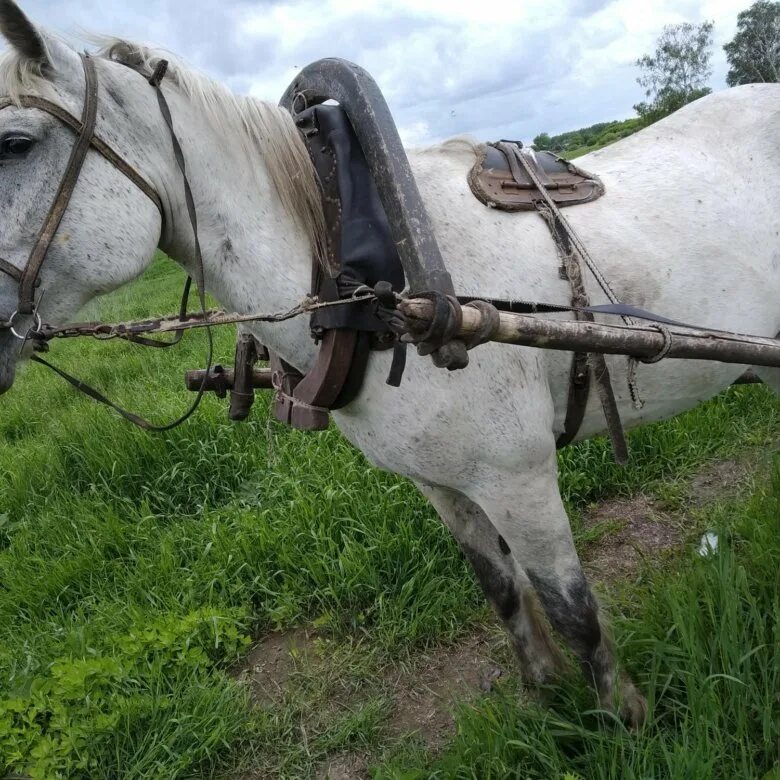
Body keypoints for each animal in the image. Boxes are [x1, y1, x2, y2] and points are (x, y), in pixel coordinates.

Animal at [1, 3, 780, 728]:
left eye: (14, 143)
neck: (373, 289)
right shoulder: (441, 482)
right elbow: (501, 590)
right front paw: (544, 694)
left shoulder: (518, 479)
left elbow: (575, 613)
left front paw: (626, 721)